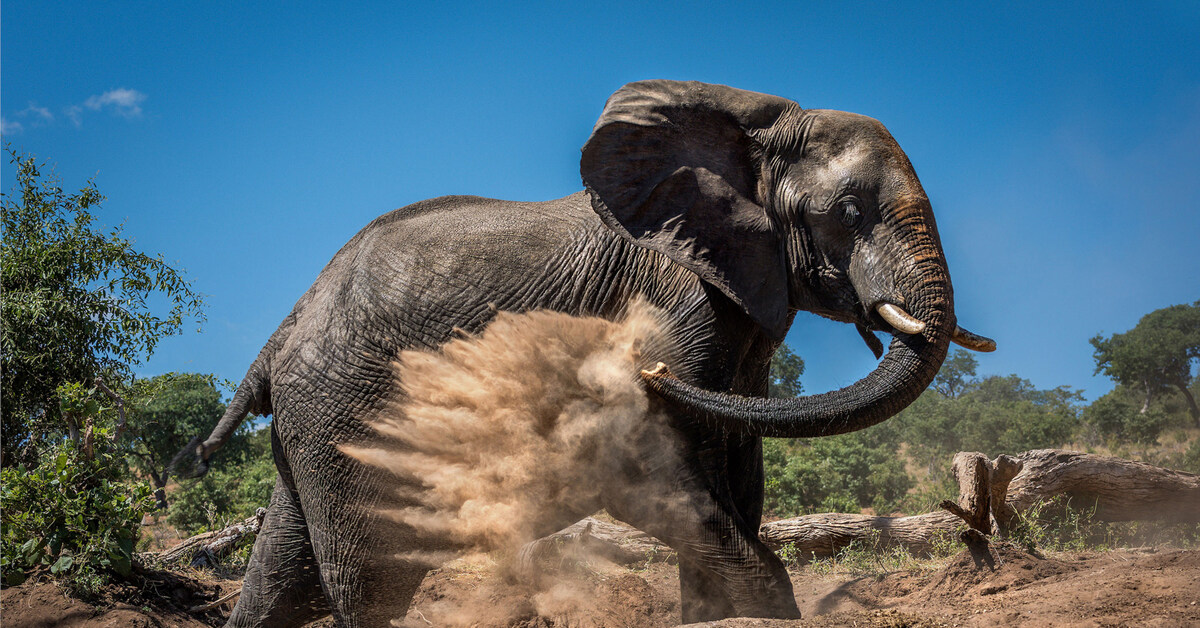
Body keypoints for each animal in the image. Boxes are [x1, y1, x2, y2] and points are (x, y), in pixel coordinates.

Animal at [182, 81, 993, 624]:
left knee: (286, 569)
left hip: (315, 422)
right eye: (849, 212)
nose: (641, 367)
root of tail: (281, 333)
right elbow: (647, 468)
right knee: (369, 573)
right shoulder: (675, 299)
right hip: (345, 411)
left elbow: (737, 476)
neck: (746, 126)